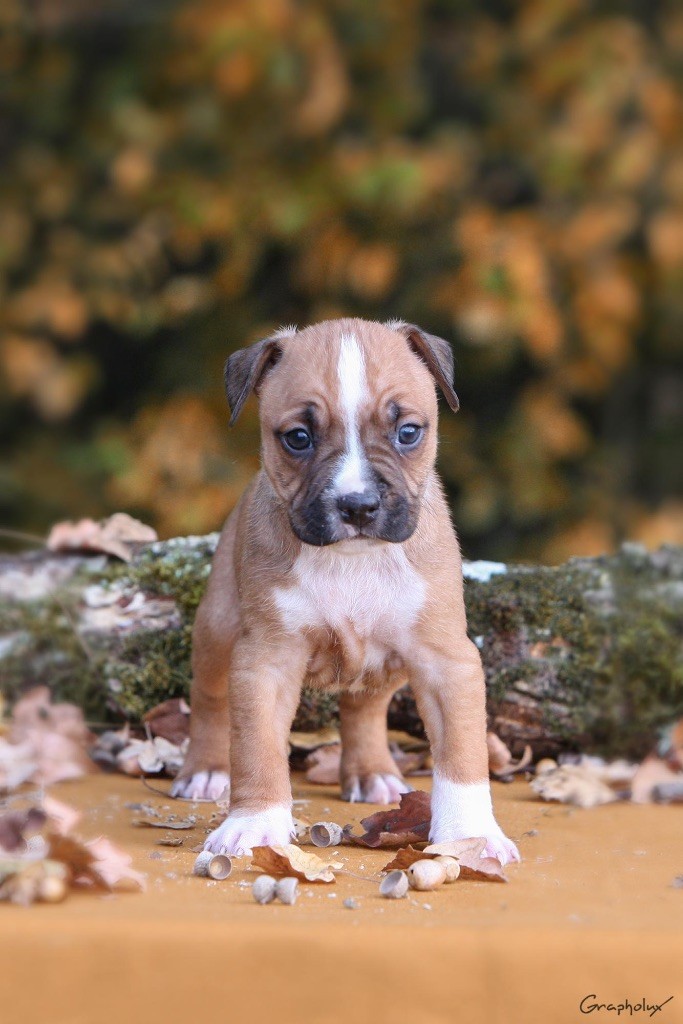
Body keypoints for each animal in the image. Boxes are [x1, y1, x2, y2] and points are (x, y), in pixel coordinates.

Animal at [171, 318, 520, 865]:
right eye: (298, 438)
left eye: (408, 433)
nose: (357, 505)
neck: (352, 560)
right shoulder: (265, 660)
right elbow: (256, 747)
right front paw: (253, 823)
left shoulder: (446, 660)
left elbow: (463, 753)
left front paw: (471, 835)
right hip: (217, 629)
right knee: (209, 701)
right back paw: (206, 770)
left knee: (365, 710)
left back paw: (373, 773)